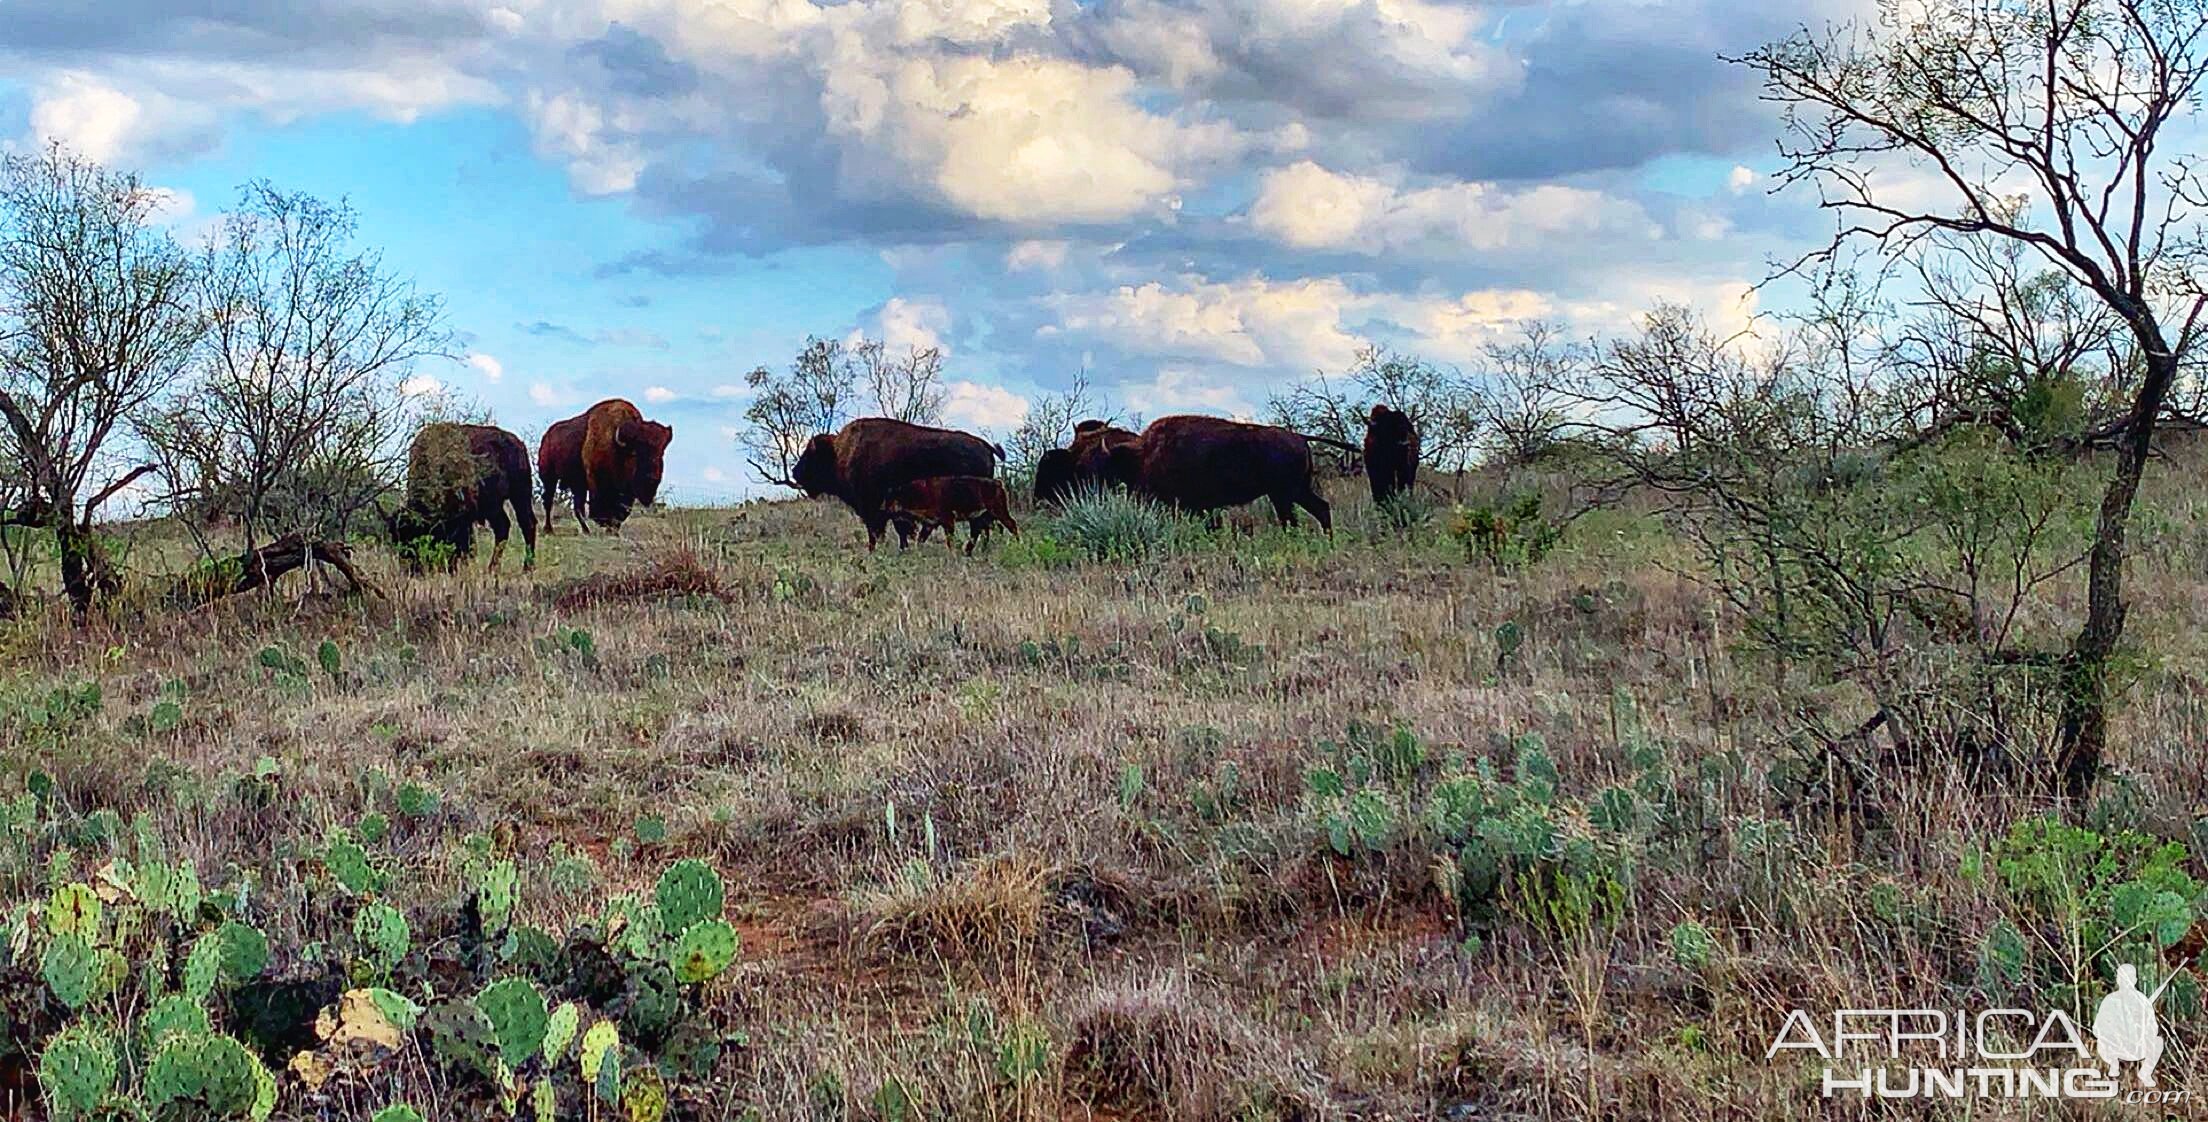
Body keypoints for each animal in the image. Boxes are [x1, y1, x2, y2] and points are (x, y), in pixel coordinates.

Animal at [379, 424, 534, 574]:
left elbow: (461, 546)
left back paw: (527, 568)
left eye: (415, 537)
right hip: (493, 506)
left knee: (527, 524)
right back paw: (492, 569)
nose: (410, 570)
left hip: (519, 495)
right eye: (396, 541)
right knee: (503, 527)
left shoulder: (462, 519)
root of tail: (519, 443)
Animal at [790, 417, 1006, 547]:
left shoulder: (874, 510)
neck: (840, 453)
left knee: (980, 526)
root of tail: (984, 445)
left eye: (810, 455)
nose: (795, 472)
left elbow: (878, 532)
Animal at [878, 474, 1015, 558]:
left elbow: (950, 540)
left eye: (890, 498)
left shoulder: (948, 520)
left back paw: (1017, 543)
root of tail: (997, 482)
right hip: (985, 516)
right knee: (985, 531)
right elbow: (920, 540)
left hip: (999, 511)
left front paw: (953, 555)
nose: (882, 508)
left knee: (1011, 525)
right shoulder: (930, 523)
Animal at [1104, 417, 1342, 530]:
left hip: (1284, 494)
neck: (1147, 453)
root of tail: (1299, 437)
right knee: (1320, 509)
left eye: (1123, 469)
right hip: (1296, 491)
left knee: (1293, 519)